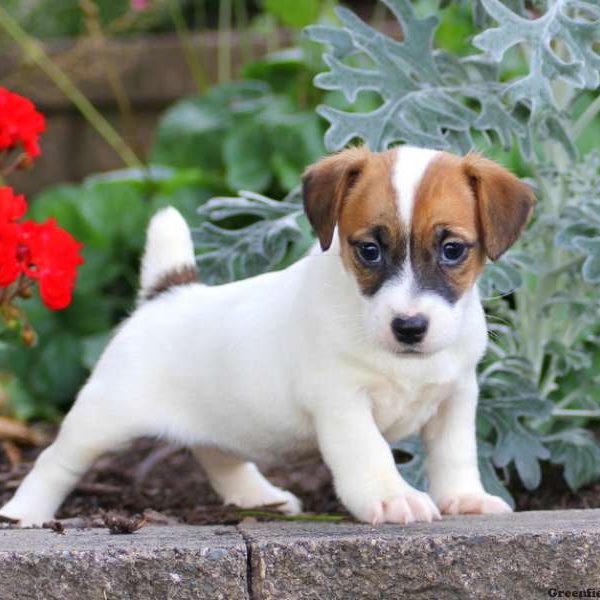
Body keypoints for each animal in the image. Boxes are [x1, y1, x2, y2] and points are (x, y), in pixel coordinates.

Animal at [0, 145, 536, 524]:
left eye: (452, 250)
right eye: (368, 250)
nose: (408, 327)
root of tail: (167, 293)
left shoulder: (456, 397)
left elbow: (455, 454)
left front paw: (464, 498)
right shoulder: (342, 402)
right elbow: (371, 452)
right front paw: (391, 497)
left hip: (216, 420)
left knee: (216, 454)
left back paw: (257, 497)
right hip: (103, 419)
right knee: (56, 460)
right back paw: (25, 513)